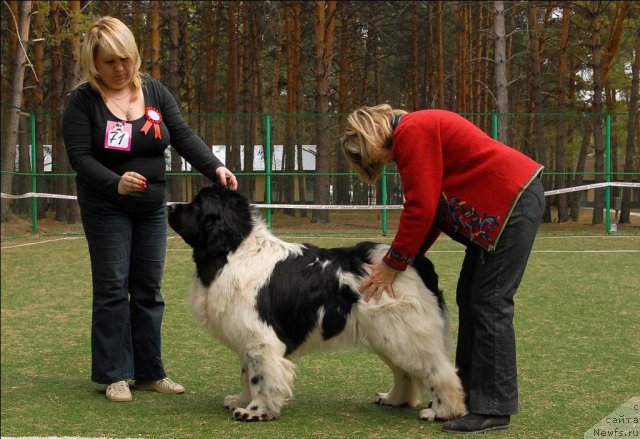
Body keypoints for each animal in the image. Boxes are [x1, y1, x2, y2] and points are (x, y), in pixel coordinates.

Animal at [166, 185, 464, 422]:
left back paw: (442, 412)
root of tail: (418, 262)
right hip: (388, 336)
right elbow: (246, 373)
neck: (233, 249)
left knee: (441, 372)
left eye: (196, 204)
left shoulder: (261, 339)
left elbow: (260, 376)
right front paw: (241, 400)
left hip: (406, 334)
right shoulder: (247, 339)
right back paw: (394, 399)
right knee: (404, 372)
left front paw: (256, 411)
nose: (169, 205)